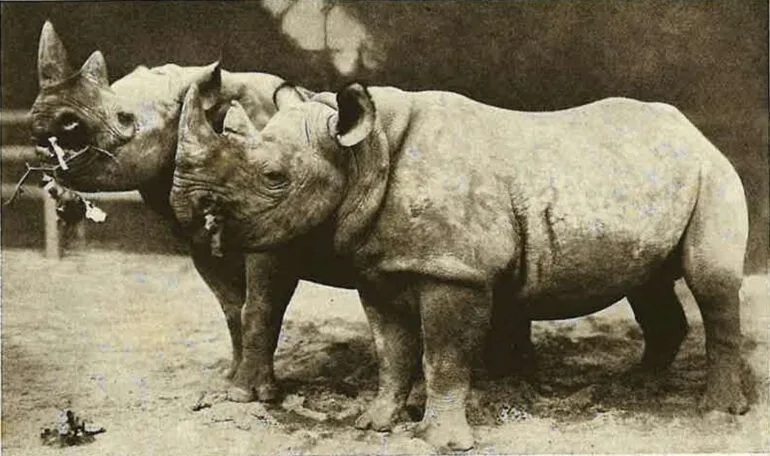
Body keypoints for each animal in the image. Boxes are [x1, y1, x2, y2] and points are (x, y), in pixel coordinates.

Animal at [170, 81, 750, 450]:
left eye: (273, 177)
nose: (200, 213)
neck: (365, 154)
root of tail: (695, 131)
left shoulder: (455, 270)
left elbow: (444, 356)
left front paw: (441, 441)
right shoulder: (380, 270)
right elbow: (393, 350)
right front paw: (372, 424)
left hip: (714, 172)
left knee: (712, 283)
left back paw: (716, 412)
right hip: (652, 175)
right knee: (647, 283)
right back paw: (637, 385)